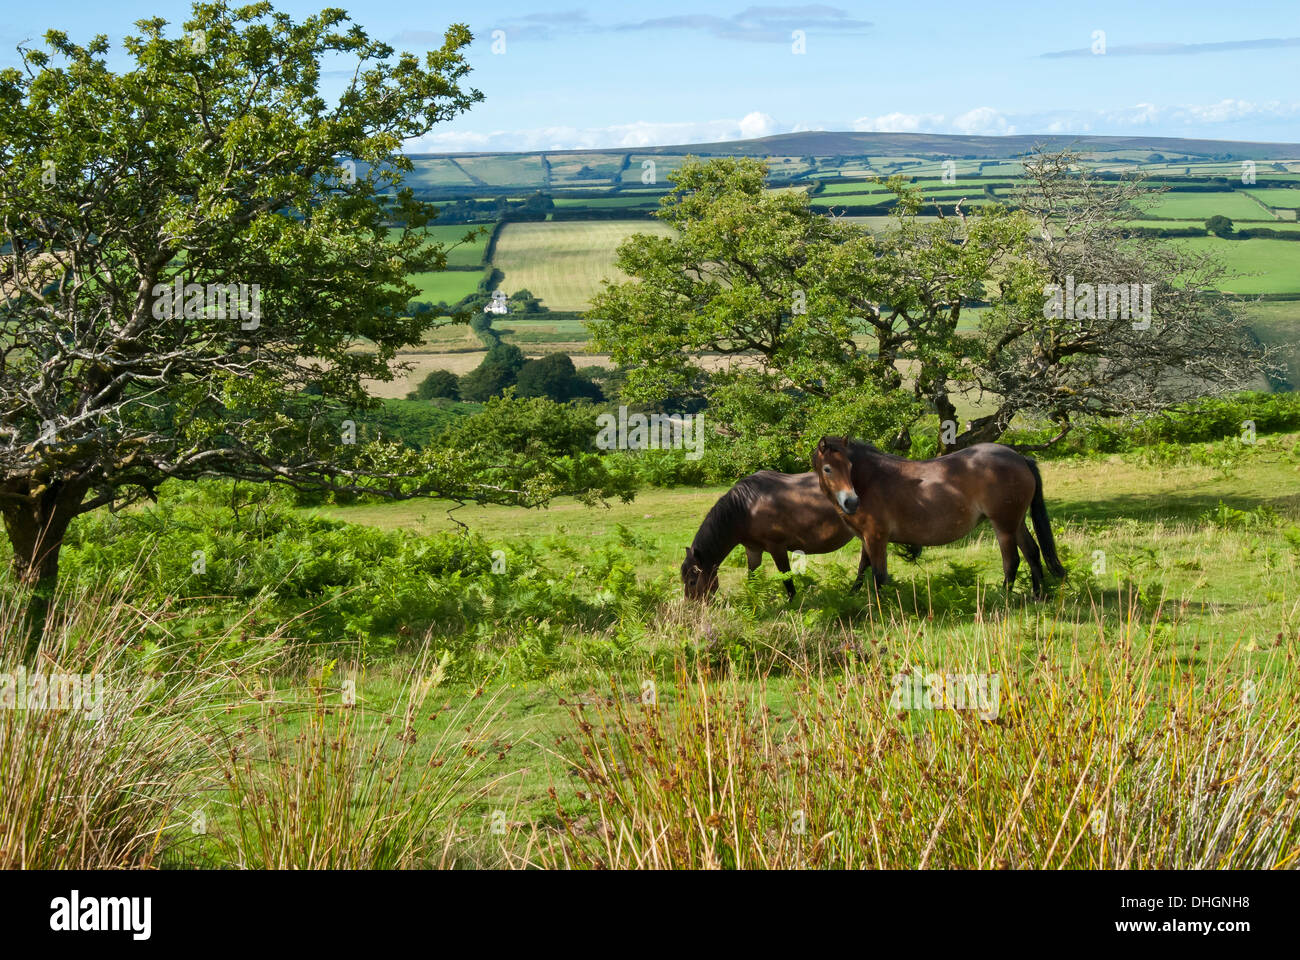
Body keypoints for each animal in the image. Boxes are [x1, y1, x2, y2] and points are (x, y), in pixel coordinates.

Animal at [686, 468, 857, 598]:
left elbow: (786, 577)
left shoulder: (777, 548)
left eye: (692, 581)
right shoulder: (753, 550)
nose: (692, 610)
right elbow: (752, 578)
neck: (746, 508)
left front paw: (793, 603)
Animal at [811, 434, 1066, 598]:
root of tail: (1020, 458)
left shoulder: (876, 538)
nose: (851, 502)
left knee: (1012, 561)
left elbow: (878, 575)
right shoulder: (866, 538)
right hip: (1016, 522)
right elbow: (862, 569)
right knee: (1032, 552)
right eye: (828, 469)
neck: (871, 480)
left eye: (850, 466)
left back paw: (1002, 599)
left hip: (1003, 526)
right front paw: (852, 597)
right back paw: (1037, 596)